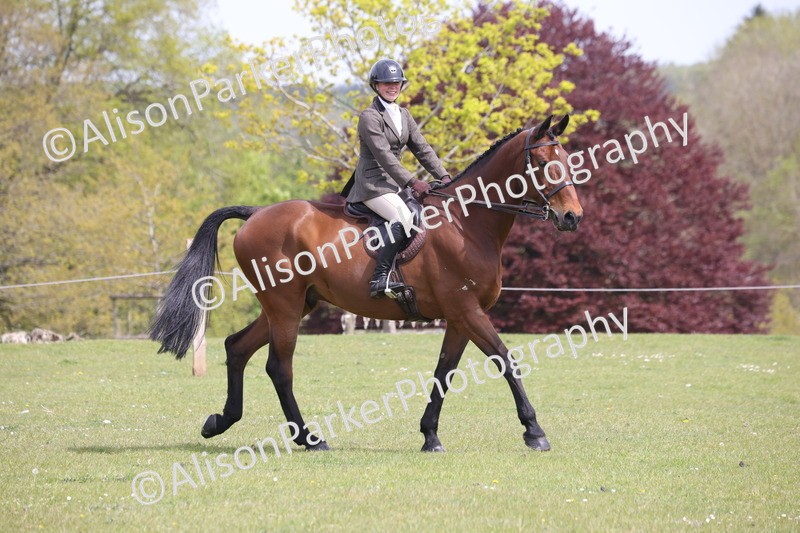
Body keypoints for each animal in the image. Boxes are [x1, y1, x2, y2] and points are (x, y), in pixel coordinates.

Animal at [149, 114, 583, 452]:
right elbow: (506, 360)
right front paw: (534, 431)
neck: (466, 221)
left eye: (566, 160)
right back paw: (309, 438)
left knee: (237, 348)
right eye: (543, 162)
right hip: (284, 306)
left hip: (295, 304)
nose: (573, 218)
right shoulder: (467, 311)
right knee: (279, 367)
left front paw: (429, 435)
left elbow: (444, 373)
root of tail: (256, 213)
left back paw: (220, 422)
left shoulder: (460, 317)